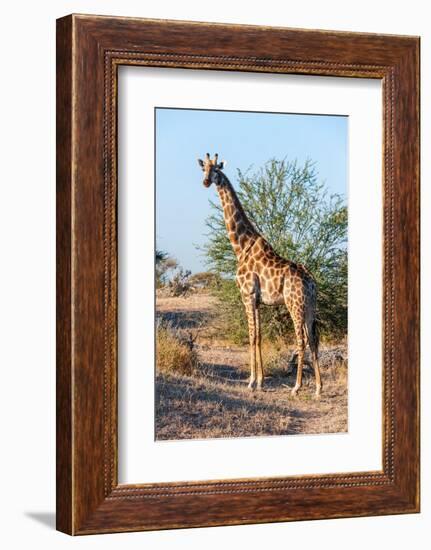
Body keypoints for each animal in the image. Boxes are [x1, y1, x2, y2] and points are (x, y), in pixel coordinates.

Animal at [197, 153, 322, 398]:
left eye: (216, 169)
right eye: (203, 168)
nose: (206, 182)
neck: (241, 246)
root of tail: (311, 282)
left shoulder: (246, 295)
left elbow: (252, 335)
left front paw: (252, 381)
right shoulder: (257, 300)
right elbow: (259, 335)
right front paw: (261, 381)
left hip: (294, 304)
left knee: (301, 339)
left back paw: (297, 387)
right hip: (310, 306)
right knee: (313, 338)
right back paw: (318, 388)